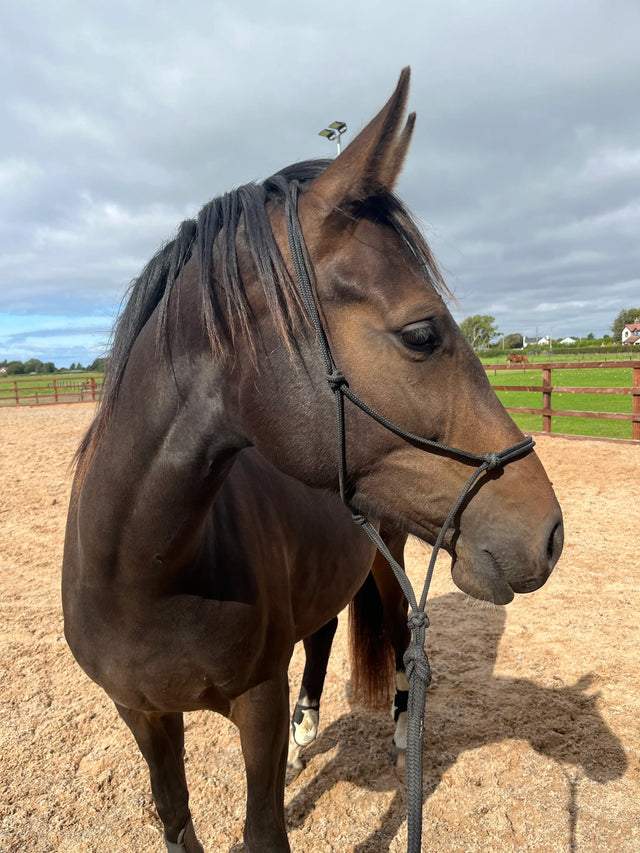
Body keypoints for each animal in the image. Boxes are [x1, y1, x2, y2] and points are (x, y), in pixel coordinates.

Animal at [62, 68, 563, 853]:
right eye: (421, 333)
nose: (549, 532)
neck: (141, 570)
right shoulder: (141, 714)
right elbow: (176, 818)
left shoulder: (256, 704)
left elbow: (265, 829)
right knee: (323, 629)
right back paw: (308, 732)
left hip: (390, 558)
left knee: (395, 628)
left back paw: (400, 731)